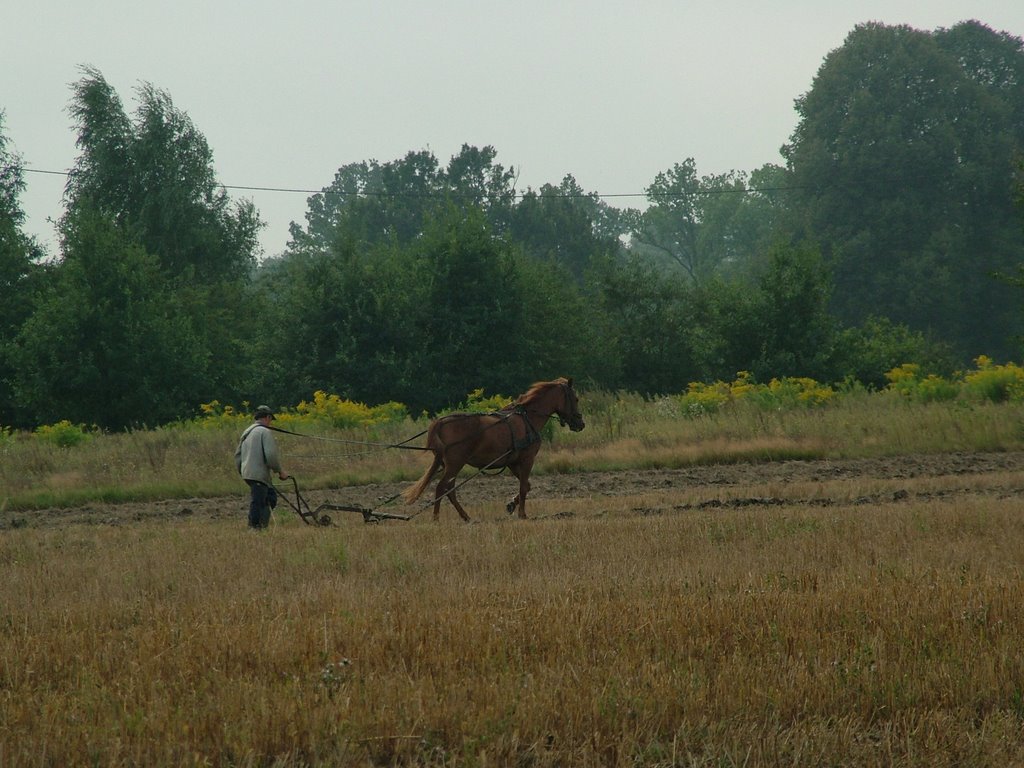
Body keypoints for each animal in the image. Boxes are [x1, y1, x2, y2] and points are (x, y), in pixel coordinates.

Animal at [403, 378, 589, 524]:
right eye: (576, 398)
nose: (581, 424)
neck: (528, 418)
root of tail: (441, 422)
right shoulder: (527, 459)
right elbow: (523, 487)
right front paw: (522, 514)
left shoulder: (513, 462)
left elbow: (527, 486)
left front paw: (511, 505)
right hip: (455, 463)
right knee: (442, 488)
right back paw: (436, 518)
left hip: (450, 465)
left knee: (450, 490)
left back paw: (466, 517)